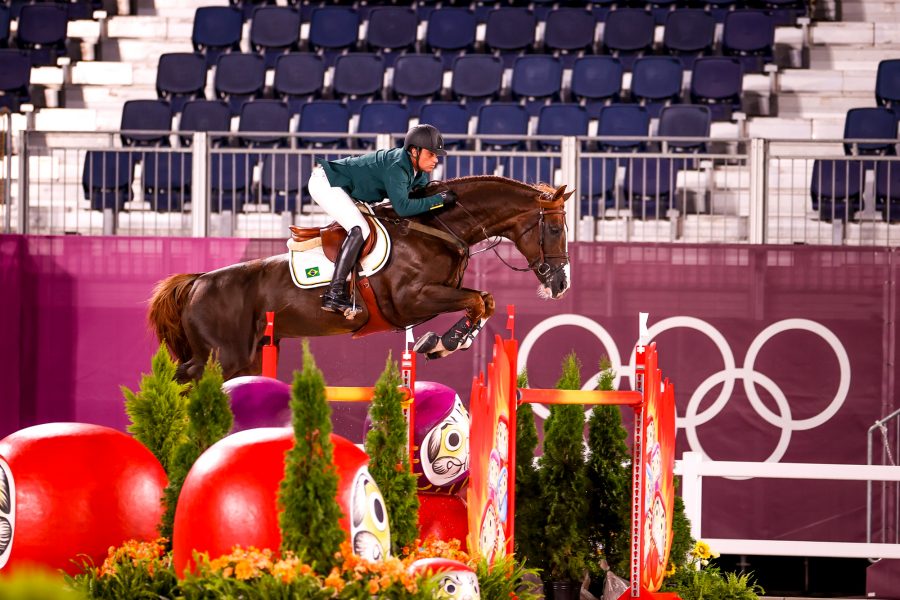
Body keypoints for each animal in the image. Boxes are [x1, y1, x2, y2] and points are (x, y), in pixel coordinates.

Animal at [146, 173, 568, 382]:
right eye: (554, 229)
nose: (560, 285)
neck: (437, 226)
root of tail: (198, 282)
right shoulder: (413, 299)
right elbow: (477, 300)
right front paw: (443, 343)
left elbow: (485, 301)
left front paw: (444, 343)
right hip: (220, 357)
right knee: (180, 378)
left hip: (248, 358)